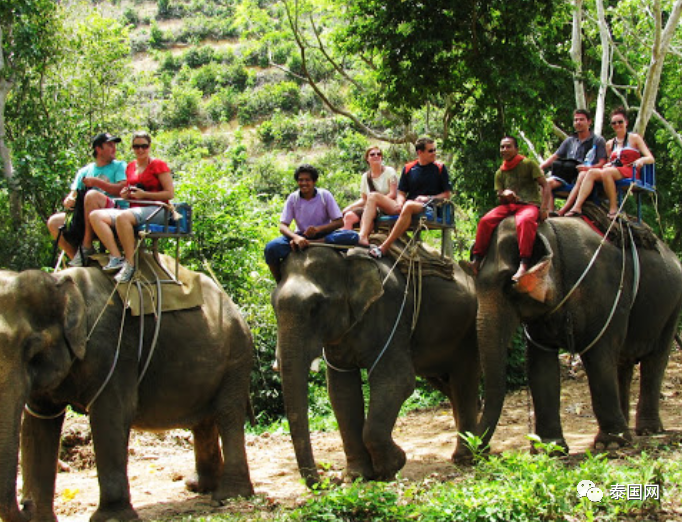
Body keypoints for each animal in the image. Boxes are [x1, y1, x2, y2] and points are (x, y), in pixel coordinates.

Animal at [0, 264, 254, 522]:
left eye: (32, 351)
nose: (26, 504)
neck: (60, 283)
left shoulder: (114, 351)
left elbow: (111, 415)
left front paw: (112, 517)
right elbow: (37, 425)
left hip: (237, 354)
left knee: (228, 414)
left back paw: (228, 495)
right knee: (203, 421)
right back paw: (199, 487)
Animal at [271, 245, 480, 487]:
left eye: (315, 307)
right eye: (273, 306)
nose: (326, 481)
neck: (346, 260)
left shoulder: (391, 311)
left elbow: (397, 380)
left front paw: (391, 467)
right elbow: (342, 391)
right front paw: (356, 476)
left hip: (467, 332)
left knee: (464, 381)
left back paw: (466, 458)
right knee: (447, 385)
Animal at [473, 216, 682, 452]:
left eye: (509, 285)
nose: (478, 452)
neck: (551, 235)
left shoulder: (604, 293)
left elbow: (599, 358)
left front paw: (609, 444)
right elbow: (540, 365)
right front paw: (550, 449)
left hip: (672, 306)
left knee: (654, 361)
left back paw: (647, 431)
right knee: (623, 363)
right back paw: (628, 430)